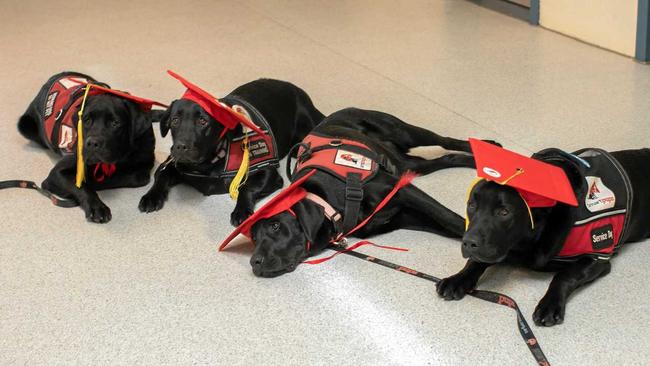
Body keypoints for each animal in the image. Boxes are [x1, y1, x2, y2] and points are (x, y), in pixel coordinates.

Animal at [18, 70, 165, 222]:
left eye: (115, 123)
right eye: (87, 120)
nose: (92, 143)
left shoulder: (146, 160)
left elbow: (136, 177)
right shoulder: (56, 174)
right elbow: (81, 186)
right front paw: (97, 207)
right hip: (25, 125)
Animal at [140, 71, 326, 226]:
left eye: (203, 121)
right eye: (175, 120)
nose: (180, 146)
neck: (208, 164)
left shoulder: (268, 172)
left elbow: (246, 187)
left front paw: (241, 211)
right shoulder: (172, 163)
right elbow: (161, 175)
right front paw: (151, 196)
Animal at [220, 108, 498, 278]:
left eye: (276, 226)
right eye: (254, 237)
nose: (254, 262)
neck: (331, 202)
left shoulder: (403, 191)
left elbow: (451, 219)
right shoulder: (403, 215)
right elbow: (449, 225)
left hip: (403, 131)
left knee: (445, 140)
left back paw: (486, 146)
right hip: (410, 165)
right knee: (445, 158)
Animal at [436, 139, 648, 326]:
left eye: (504, 212)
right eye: (472, 205)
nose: (468, 242)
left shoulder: (597, 256)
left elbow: (564, 276)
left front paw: (549, 305)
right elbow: (475, 262)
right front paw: (458, 279)